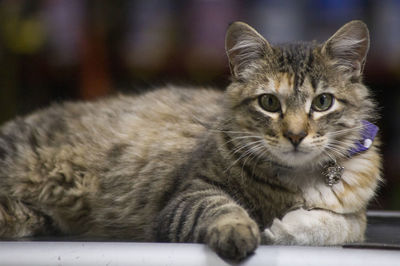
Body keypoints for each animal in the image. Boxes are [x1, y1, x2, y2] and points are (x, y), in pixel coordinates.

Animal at [0, 19, 382, 260]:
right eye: (270, 103)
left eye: (323, 102)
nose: (296, 135)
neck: (296, 178)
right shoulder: (190, 193)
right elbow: (223, 209)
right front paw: (242, 233)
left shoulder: (355, 213)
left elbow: (342, 225)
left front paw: (285, 228)